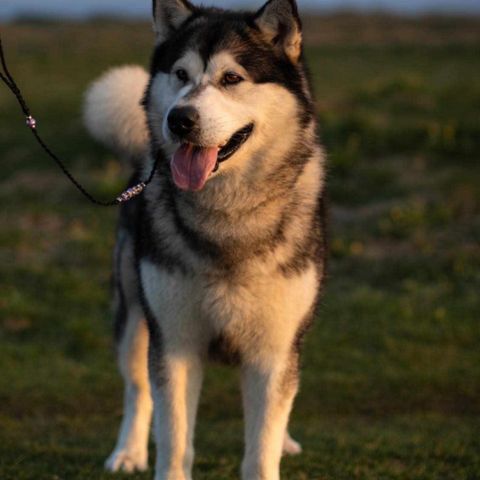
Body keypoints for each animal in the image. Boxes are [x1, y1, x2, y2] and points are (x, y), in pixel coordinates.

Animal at [85, 1, 326, 478]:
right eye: (180, 74)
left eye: (231, 78)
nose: (179, 120)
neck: (226, 216)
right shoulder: (175, 342)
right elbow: (175, 436)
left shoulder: (274, 349)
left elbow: (262, 443)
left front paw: (274, 445)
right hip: (134, 315)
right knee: (137, 389)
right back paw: (129, 452)